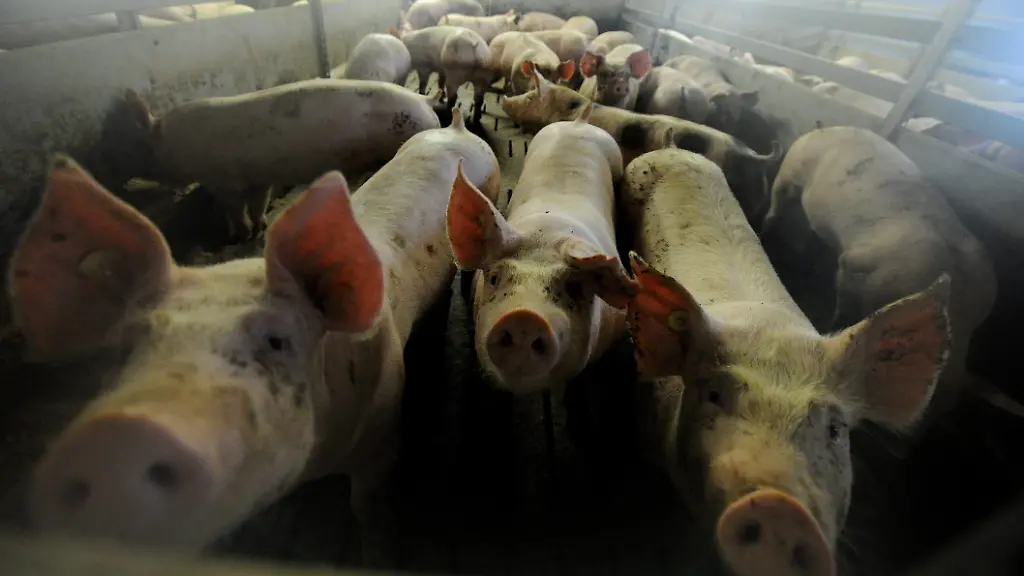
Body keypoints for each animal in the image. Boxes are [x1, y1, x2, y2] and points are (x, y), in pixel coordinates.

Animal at [19, 109, 499, 565]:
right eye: (124, 348)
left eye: (276, 341)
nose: (118, 435)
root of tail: (455, 128)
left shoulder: (382, 433)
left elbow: (368, 507)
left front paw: (377, 555)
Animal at [108, 79, 440, 240]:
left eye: (138, 148)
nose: (122, 183)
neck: (174, 144)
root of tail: (424, 100)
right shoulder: (259, 179)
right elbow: (257, 205)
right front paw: (259, 228)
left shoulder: (223, 180)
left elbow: (235, 209)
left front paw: (241, 234)